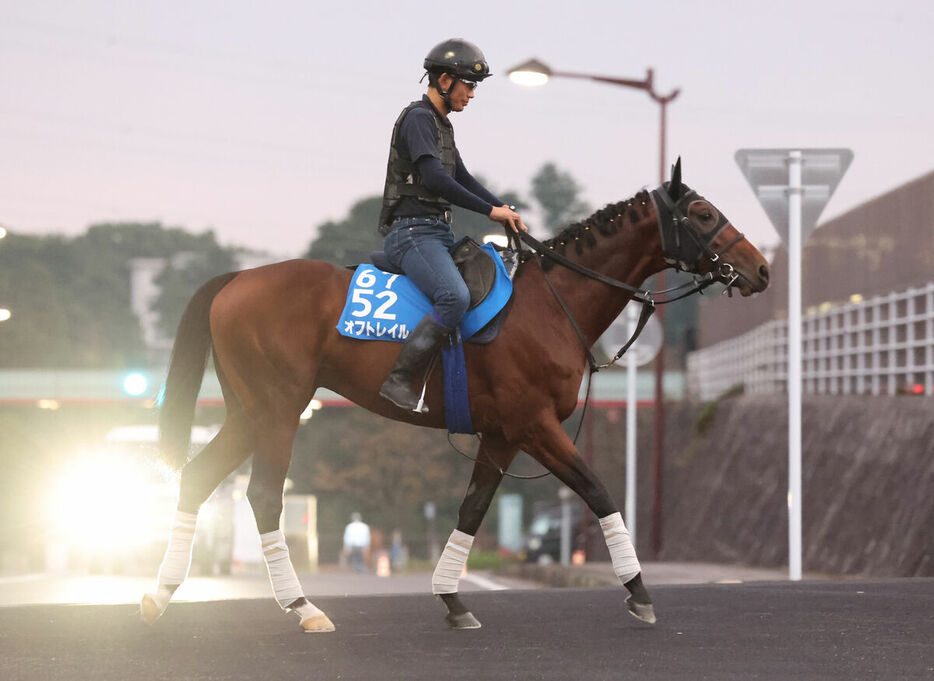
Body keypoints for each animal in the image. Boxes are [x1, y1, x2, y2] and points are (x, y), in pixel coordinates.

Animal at [137, 161, 768, 632]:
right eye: (703, 214)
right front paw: (639, 592)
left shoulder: (503, 435)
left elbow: (472, 508)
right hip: (278, 411)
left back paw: (162, 594)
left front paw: (451, 599)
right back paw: (301, 606)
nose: (761, 269)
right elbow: (598, 491)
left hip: (249, 413)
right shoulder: (536, 426)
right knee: (265, 496)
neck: (551, 305)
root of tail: (236, 280)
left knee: (197, 478)